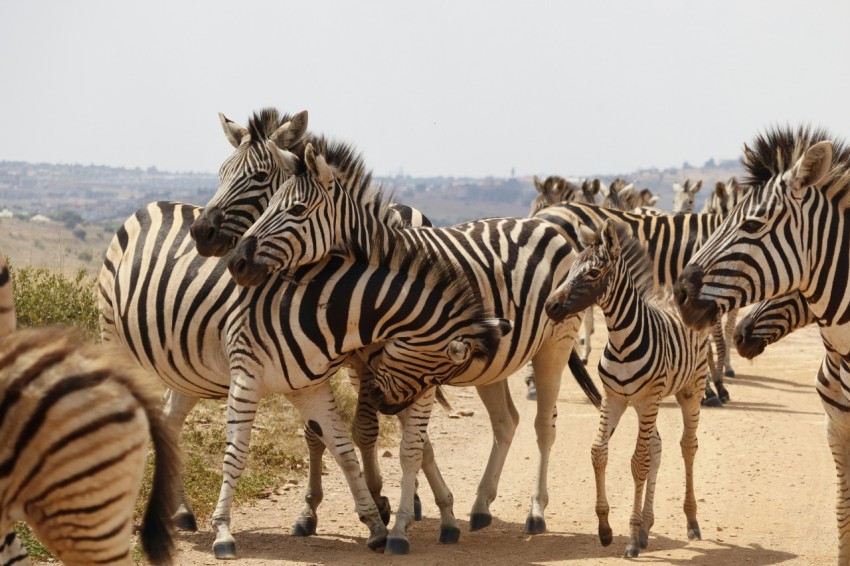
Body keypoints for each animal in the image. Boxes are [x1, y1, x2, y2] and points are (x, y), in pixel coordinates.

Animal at [99, 201, 505, 558]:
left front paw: (375, 527)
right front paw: (224, 532)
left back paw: (180, 512)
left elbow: (344, 453)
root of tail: (152, 205)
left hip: (187, 370)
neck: (325, 307)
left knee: (168, 421)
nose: (387, 405)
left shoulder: (309, 387)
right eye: (435, 372)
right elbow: (236, 456)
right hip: (115, 340)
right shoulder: (246, 374)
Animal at [227, 140, 602, 554]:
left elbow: (405, 442)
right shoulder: (370, 366)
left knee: (543, 425)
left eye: (295, 210)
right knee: (506, 421)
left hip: (555, 344)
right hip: (495, 363)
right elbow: (378, 436)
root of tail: (544, 224)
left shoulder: (418, 367)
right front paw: (385, 505)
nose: (236, 262)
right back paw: (481, 506)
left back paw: (535, 512)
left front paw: (396, 514)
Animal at [544, 219, 709, 557]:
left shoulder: (647, 400)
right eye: (570, 269)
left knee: (687, 446)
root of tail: (672, 295)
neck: (622, 342)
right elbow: (599, 452)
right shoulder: (614, 398)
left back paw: (691, 522)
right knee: (657, 448)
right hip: (646, 404)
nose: (550, 306)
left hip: (690, 390)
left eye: (593, 273)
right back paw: (647, 527)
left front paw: (631, 537)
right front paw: (606, 529)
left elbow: (638, 462)